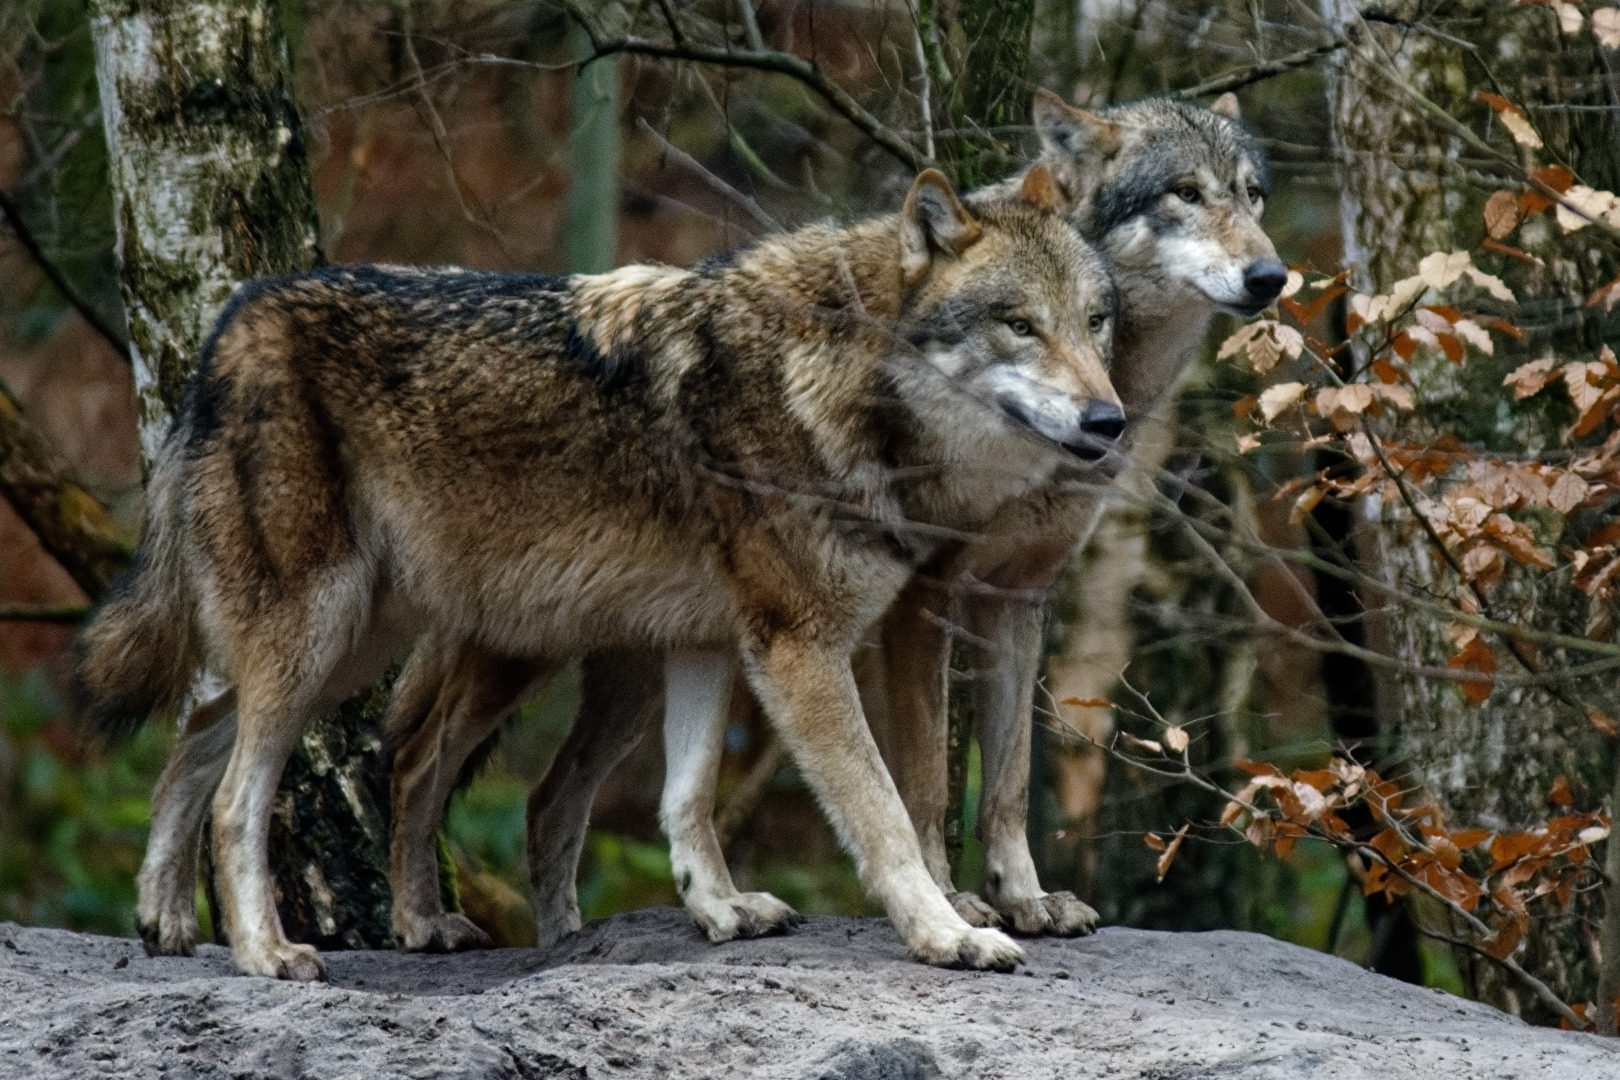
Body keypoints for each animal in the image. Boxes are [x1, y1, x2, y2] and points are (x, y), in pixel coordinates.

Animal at [80, 165, 1124, 979]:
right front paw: (951, 935)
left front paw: (720, 910)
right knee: (240, 796)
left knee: (205, 735)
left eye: (1096, 322)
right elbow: (887, 815)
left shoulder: (712, 642)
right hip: (327, 639)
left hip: (355, 646)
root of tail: (230, 324)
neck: (841, 382)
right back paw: (265, 953)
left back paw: (181, 921)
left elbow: (687, 796)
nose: (1110, 420)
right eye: (1020, 325)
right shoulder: (800, 648)